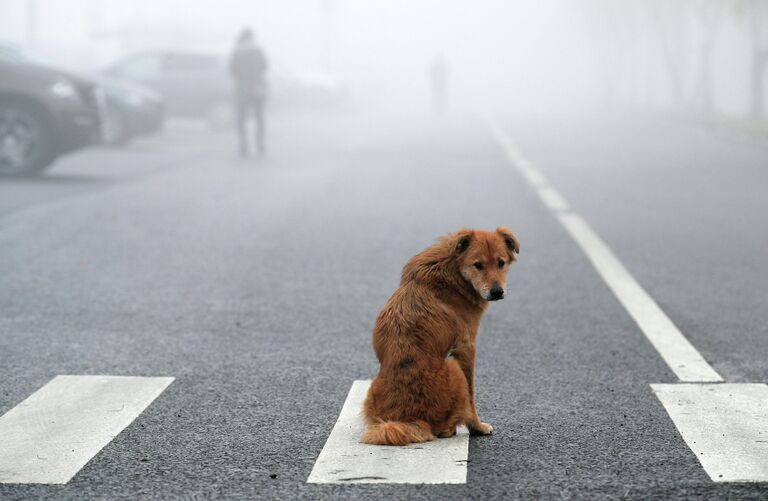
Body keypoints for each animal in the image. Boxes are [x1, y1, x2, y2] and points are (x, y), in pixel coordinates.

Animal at [362, 229, 520, 444]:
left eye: (501, 263)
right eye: (478, 265)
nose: (497, 292)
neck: (453, 270)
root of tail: (410, 418)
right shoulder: (466, 346)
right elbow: (472, 395)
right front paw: (477, 427)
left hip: (371, 392)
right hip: (453, 368)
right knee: (445, 426)